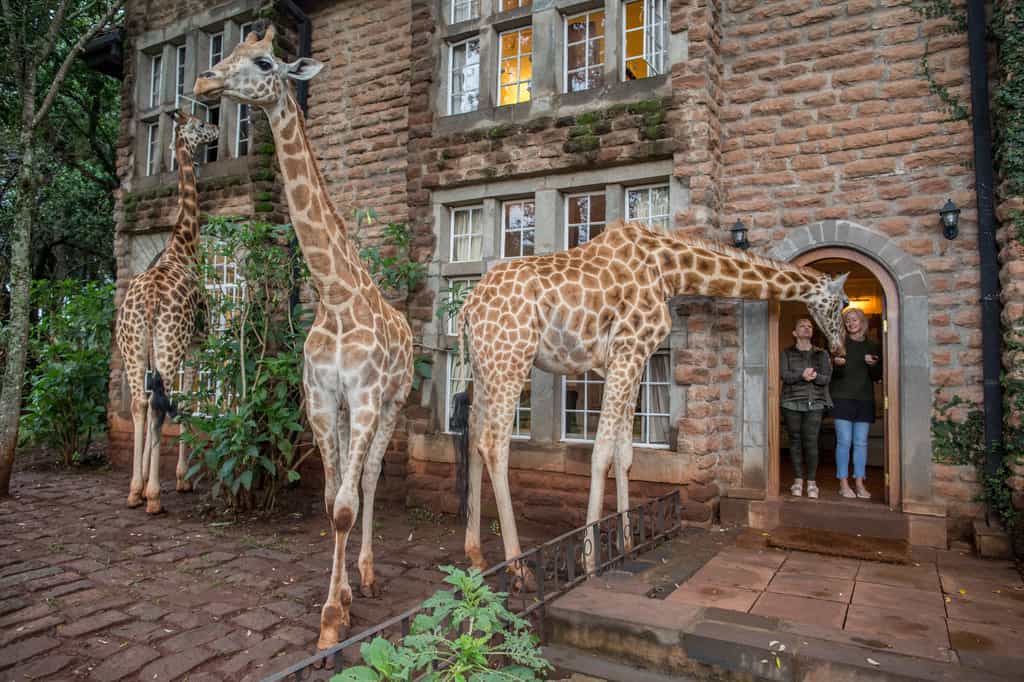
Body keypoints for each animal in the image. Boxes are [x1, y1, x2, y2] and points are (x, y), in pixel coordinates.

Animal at [117, 110, 219, 514]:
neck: (183, 245)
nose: (217, 130)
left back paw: (135, 491)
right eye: (200, 125)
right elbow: (187, 399)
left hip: (133, 345)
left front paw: (150, 479)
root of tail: (148, 301)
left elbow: (153, 403)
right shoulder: (196, 344)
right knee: (160, 406)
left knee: (141, 404)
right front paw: (180, 479)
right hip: (169, 343)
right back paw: (154, 497)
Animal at [194, 26, 414, 649]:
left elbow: (345, 503)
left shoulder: (365, 397)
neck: (334, 295)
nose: (203, 82)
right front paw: (337, 599)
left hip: (393, 403)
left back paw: (369, 573)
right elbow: (328, 498)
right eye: (228, 53)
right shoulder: (320, 399)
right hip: (343, 410)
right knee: (351, 481)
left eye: (265, 62)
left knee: (370, 480)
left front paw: (334, 616)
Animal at [456, 221, 849, 578]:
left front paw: (628, 544)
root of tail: (467, 309)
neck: (669, 269)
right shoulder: (627, 351)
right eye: (842, 303)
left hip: (486, 364)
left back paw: (476, 555)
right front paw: (590, 561)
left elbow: (624, 454)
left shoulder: (636, 357)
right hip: (512, 357)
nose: (840, 350)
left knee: (474, 432)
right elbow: (601, 453)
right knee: (493, 444)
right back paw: (519, 567)